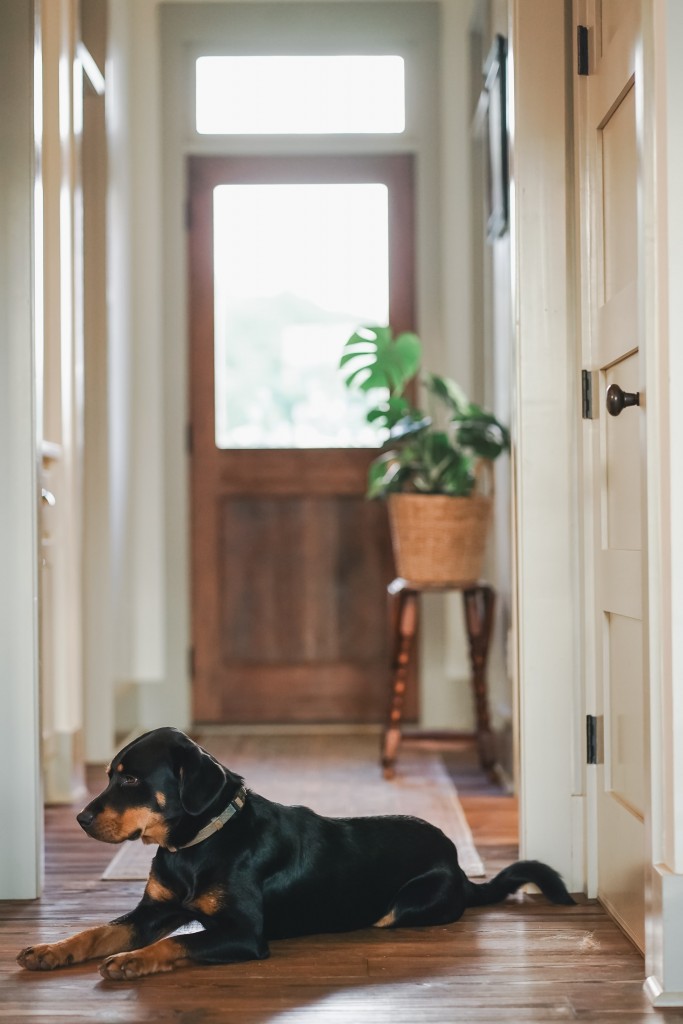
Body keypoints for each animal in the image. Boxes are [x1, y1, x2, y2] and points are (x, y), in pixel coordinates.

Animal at [15, 724, 573, 978]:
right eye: (111, 774)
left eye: (131, 779)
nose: (81, 818)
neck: (194, 845)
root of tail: (460, 868)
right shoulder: (153, 909)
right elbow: (95, 932)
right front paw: (50, 950)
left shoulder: (243, 934)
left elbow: (175, 944)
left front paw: (132, 960)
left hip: (407, 905)